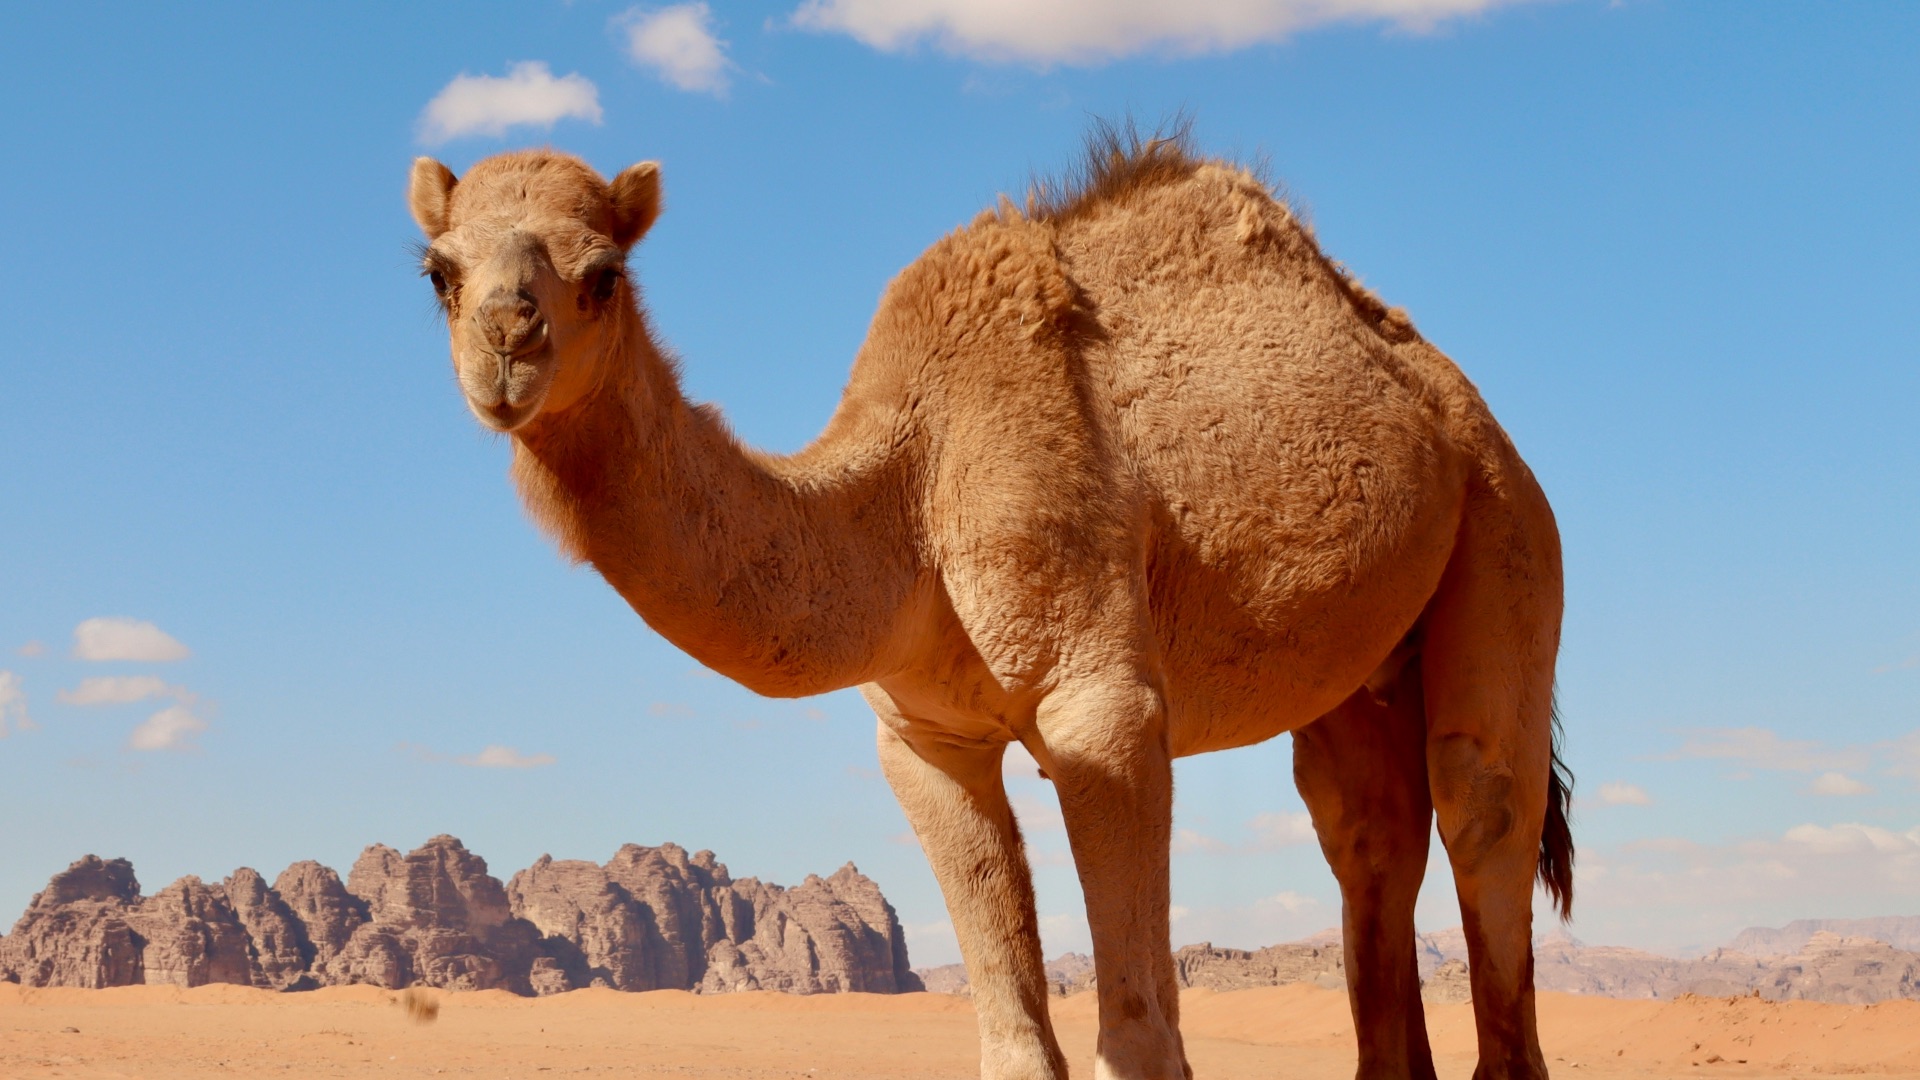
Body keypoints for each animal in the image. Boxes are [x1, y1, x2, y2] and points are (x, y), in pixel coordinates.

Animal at [407, 125, 1573, 1080]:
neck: (910, 491)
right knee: (1365, 827)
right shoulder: (925, 736)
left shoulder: (1103, 706)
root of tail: (1452, 394)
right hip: (1359, 659)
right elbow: (1014, 1041)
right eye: (438, 271)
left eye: (602, 274)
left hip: (1506, 522)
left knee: (1481, 798)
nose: (508, 341)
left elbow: (1139, 1043)